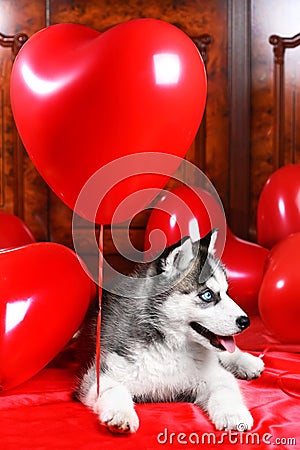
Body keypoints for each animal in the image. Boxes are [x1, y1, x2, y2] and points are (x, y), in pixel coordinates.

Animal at [74, 230, 264, 434]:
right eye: (207, 295)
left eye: (227, 292)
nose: (245, 322)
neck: (170, 346)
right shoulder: (100, 376)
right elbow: (113, 390)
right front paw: (121, 414)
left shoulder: (213, 375)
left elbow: (225, 388)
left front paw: (233, 413)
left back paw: (248, 362)